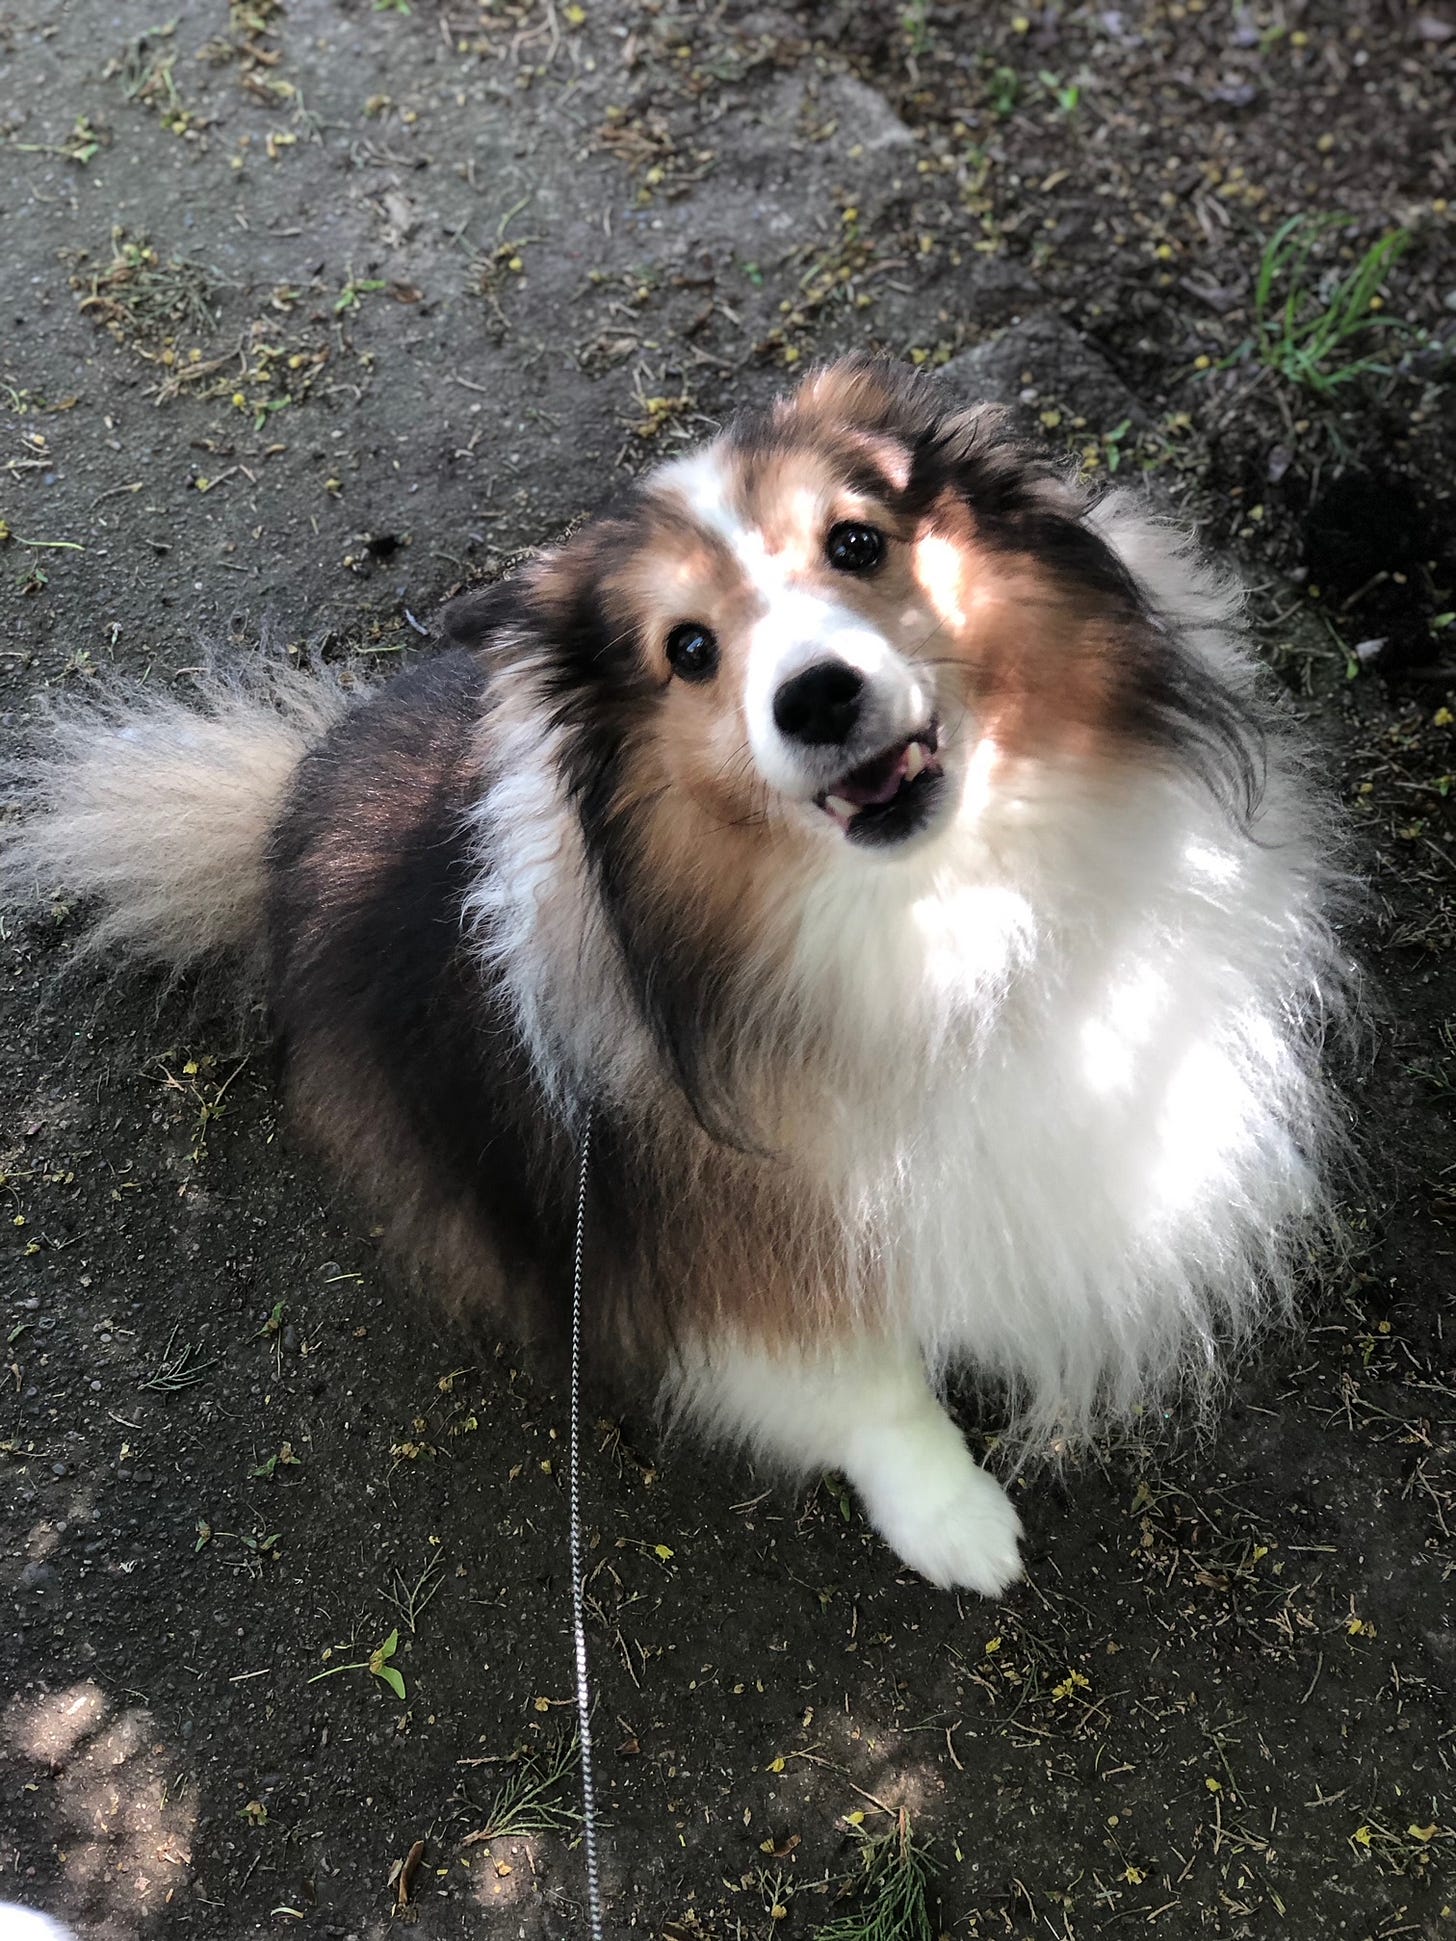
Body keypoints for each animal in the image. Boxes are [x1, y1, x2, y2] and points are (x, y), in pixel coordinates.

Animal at [2, 361, 1358, 1591]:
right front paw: (954, 1518)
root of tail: (292, 795)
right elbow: (869, 1385)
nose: (818, 699)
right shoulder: (742, 1241)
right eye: (688, 648)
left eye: (856, 541)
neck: (936, 912)